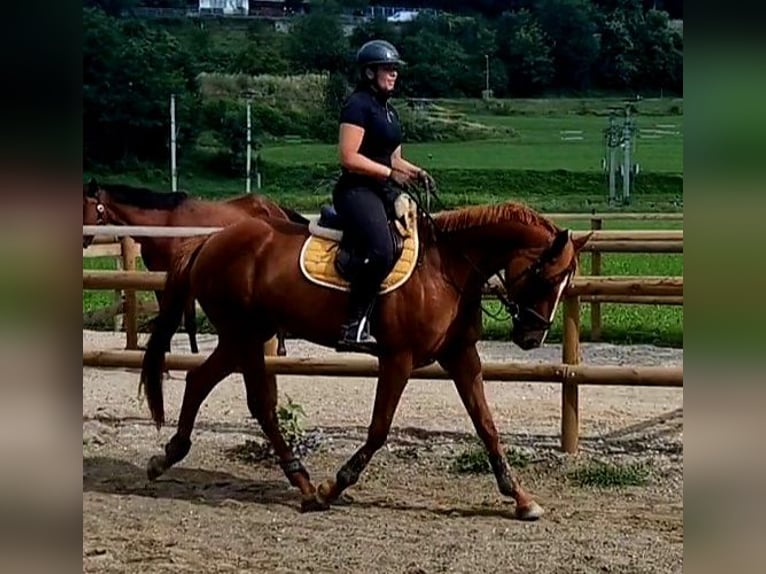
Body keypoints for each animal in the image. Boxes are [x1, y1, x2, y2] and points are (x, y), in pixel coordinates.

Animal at [80, 180, 304, 358]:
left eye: (84, 207)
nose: (82, 240)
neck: (164, 224)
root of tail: (275, 207)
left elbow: (189, 321)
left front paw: (193, 355)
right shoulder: (159, 276)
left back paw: (281, 350)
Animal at [140, 194, 592, 520]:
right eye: (547, 277)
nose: (532, 336)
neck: (447, 268)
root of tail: (211, 239)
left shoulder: (460, 355)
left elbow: (487, 426)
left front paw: (521, 498)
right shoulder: (398, 358)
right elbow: (379, 429)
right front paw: (335, 486)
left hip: (245, 337)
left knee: (221, 389)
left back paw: (178, 460)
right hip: (243, 336)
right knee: (245, 399)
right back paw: (303, 487)